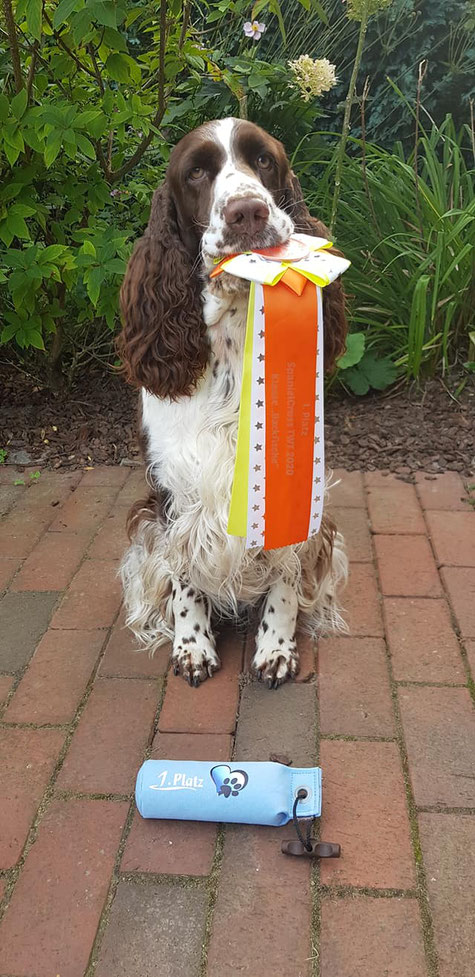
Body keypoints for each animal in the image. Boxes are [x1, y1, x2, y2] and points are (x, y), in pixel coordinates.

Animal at [119, 116, 350, 688]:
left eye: (263, 160)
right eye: (196, 172)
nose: (247, 211)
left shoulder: (299, 487)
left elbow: (286, 568)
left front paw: (276, 647)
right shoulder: (177, 489)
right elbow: (183, 575)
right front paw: (192, 645)